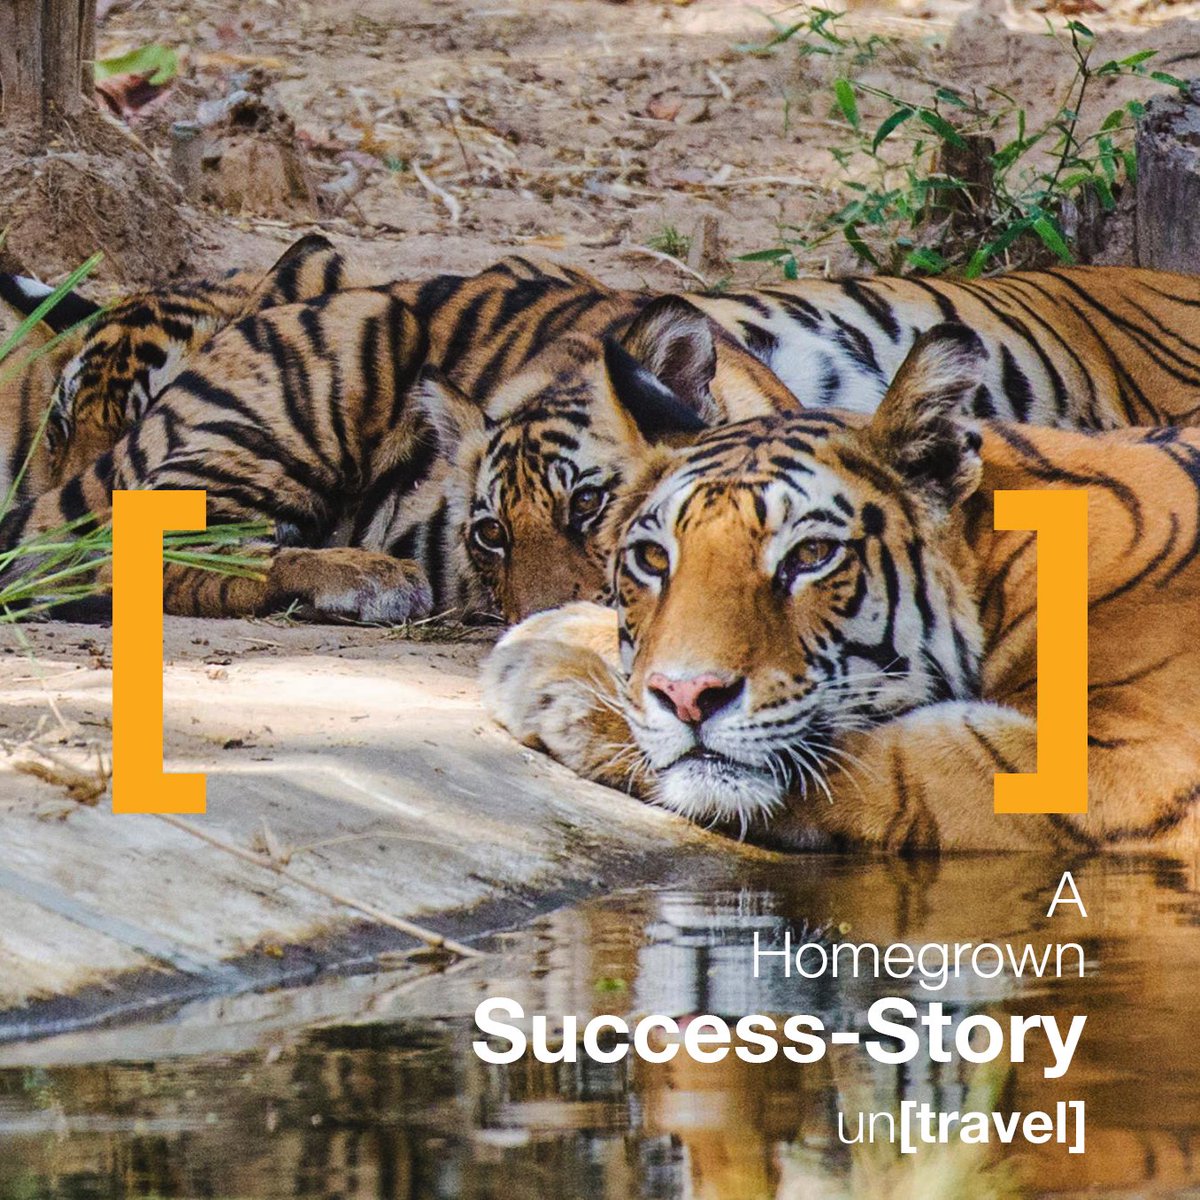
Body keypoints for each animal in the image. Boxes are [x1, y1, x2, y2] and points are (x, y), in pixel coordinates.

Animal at [482, 323, 1200, 853]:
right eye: (655, 558)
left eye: (812, 555)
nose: (688, 698)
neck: (1002, 573)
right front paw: (552, 632)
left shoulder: (1129, 765)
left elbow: (885, 760)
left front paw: (554, 682)